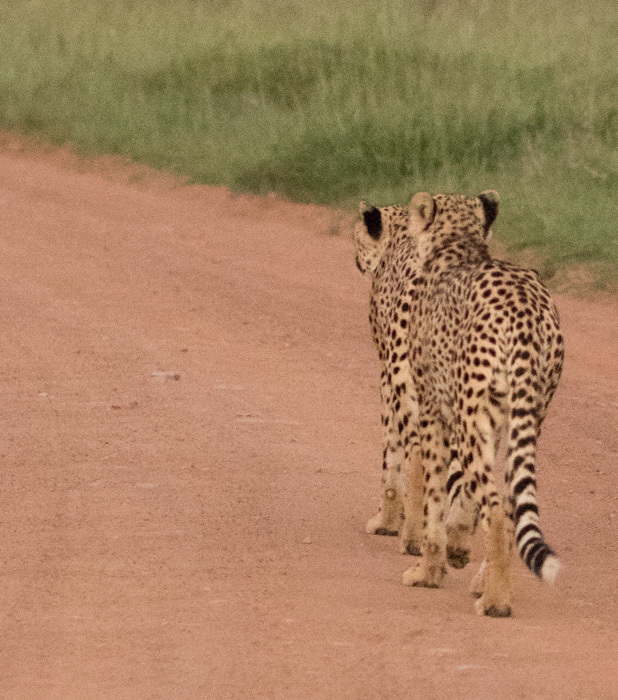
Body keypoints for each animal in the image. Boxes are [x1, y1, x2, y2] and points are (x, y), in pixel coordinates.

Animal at [354, 189, 560, 616]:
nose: (357, 259)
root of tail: (526, 309)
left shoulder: (404, 388)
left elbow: (404, 465)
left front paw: (419, 555)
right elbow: (457, 491)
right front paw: (456, 545)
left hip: (458, 408)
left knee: (492, 506)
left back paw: (492, 598)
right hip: (522, 415)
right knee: (511, 503)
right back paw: (486, 580)